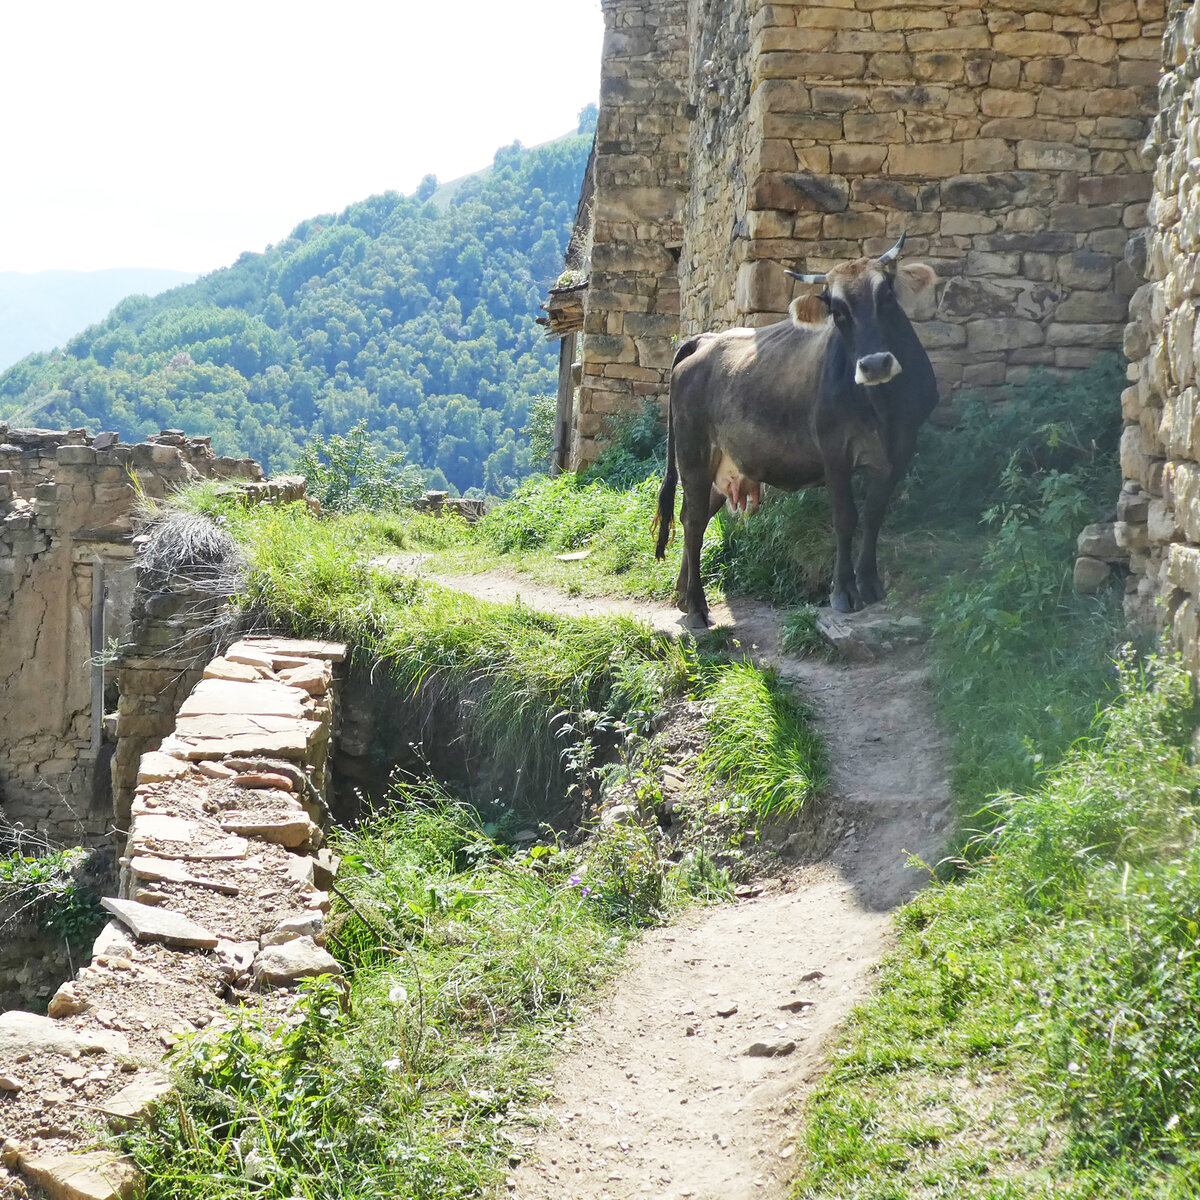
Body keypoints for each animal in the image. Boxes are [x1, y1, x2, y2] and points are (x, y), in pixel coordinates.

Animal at [652, 234, 940, 628]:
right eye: (837, 311)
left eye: (887, 296)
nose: (875, 364)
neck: (884, 407)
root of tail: (706, 340)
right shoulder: (834, 450)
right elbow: (845, 518)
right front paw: (844, 591)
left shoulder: (901, 449)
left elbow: (874, 515)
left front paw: (870, 583)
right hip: (693, 452)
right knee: (694, 520)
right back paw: (696, 605)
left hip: (721, 465)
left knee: (692, 516)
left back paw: (683, 594)